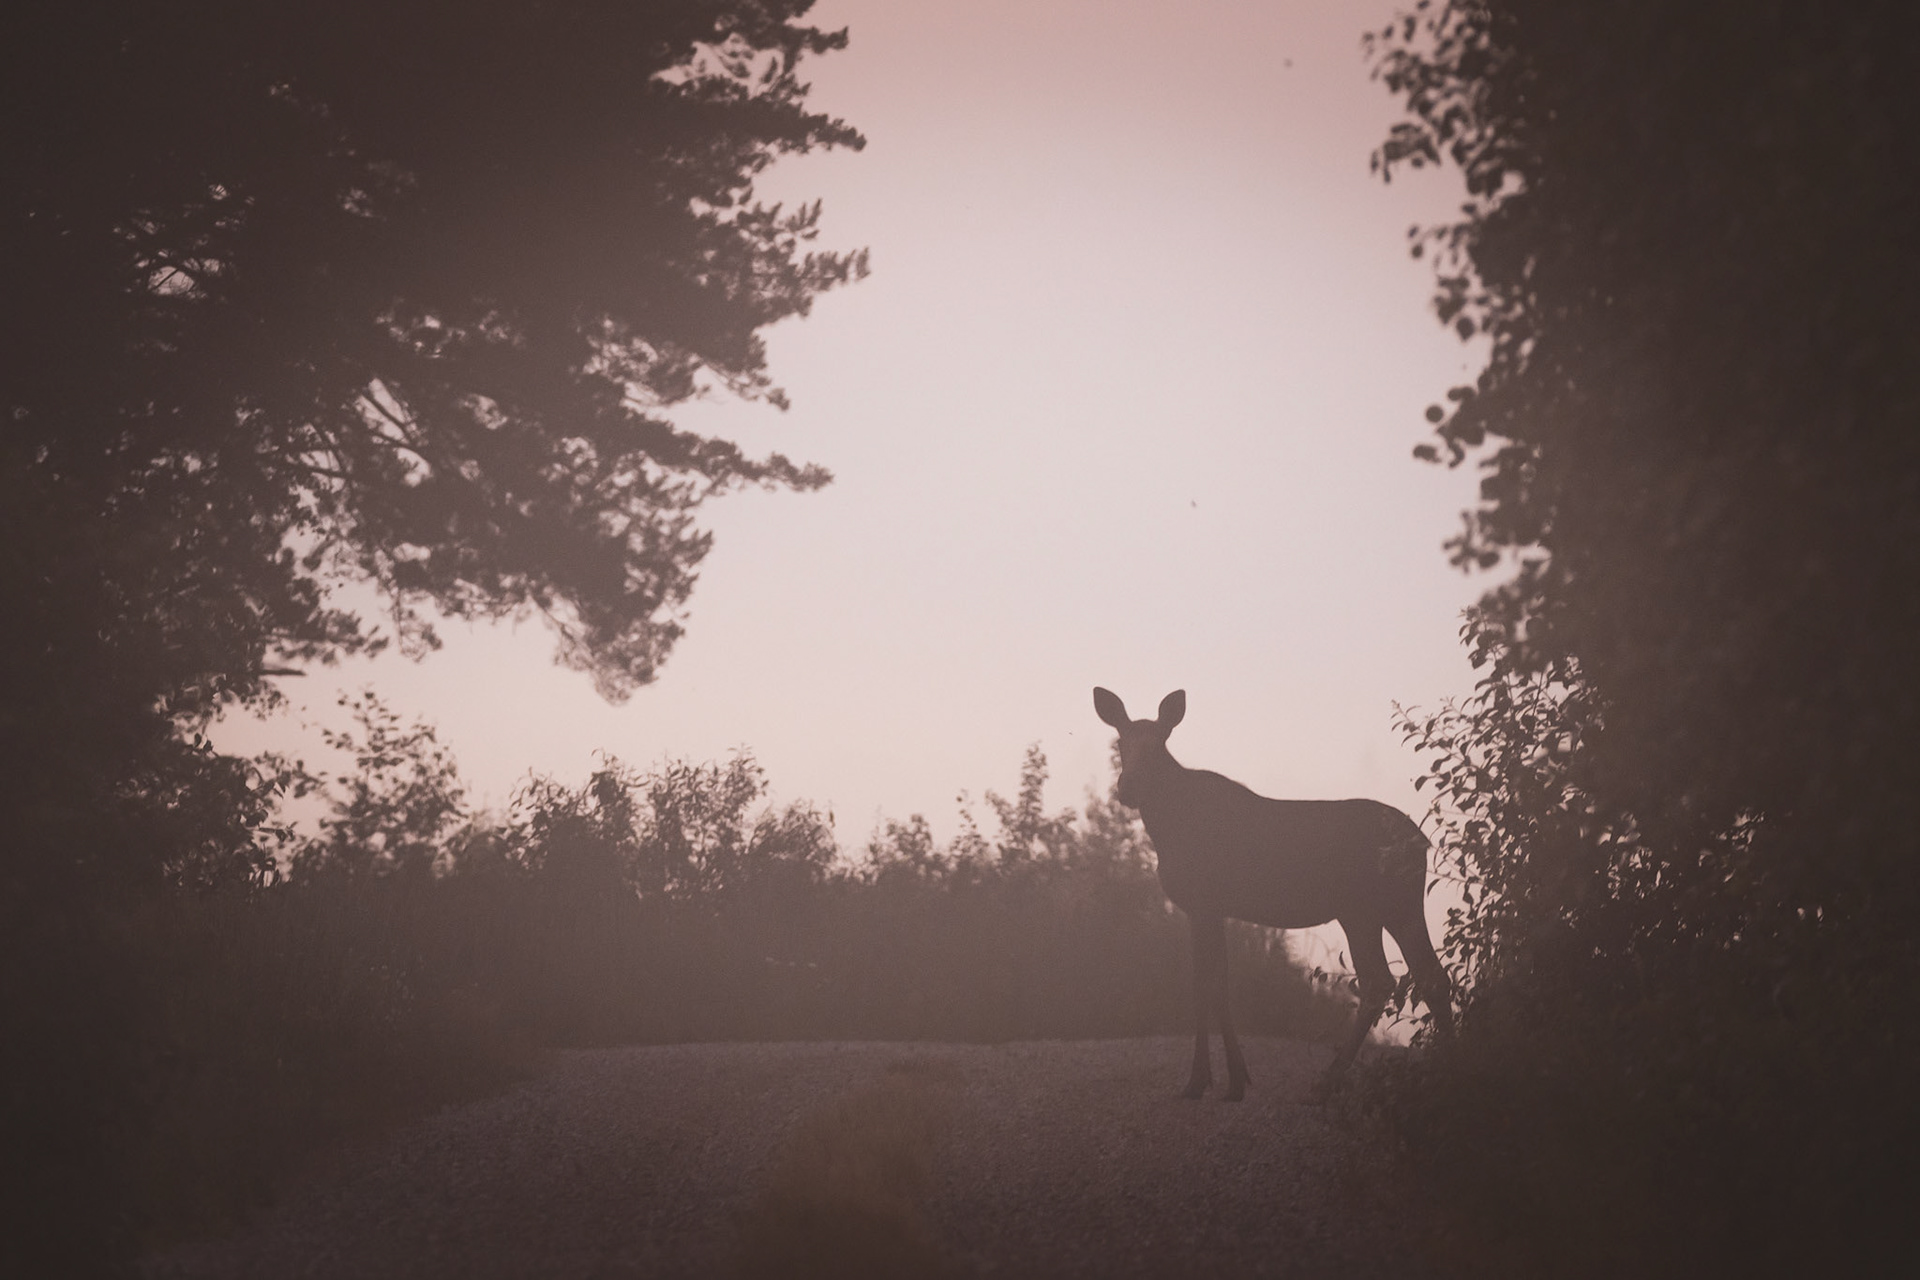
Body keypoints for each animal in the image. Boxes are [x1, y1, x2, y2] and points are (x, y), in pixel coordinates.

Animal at [1093, 687, 1453, 1100]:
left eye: (1158, 744)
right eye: (1121, 743)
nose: (1128, 787)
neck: (1167, 830)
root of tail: (1421, 841)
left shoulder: (1203, 902)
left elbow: (1206, 985)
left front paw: (1202, 1081)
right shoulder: (1213, 909)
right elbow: (1218, 983)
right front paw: (1234, 1078)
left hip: (1368, 907)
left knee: (1385, 981)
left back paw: (1329, 1081)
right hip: (1389, 909)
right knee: (1424, 978)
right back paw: (1443, 1072)